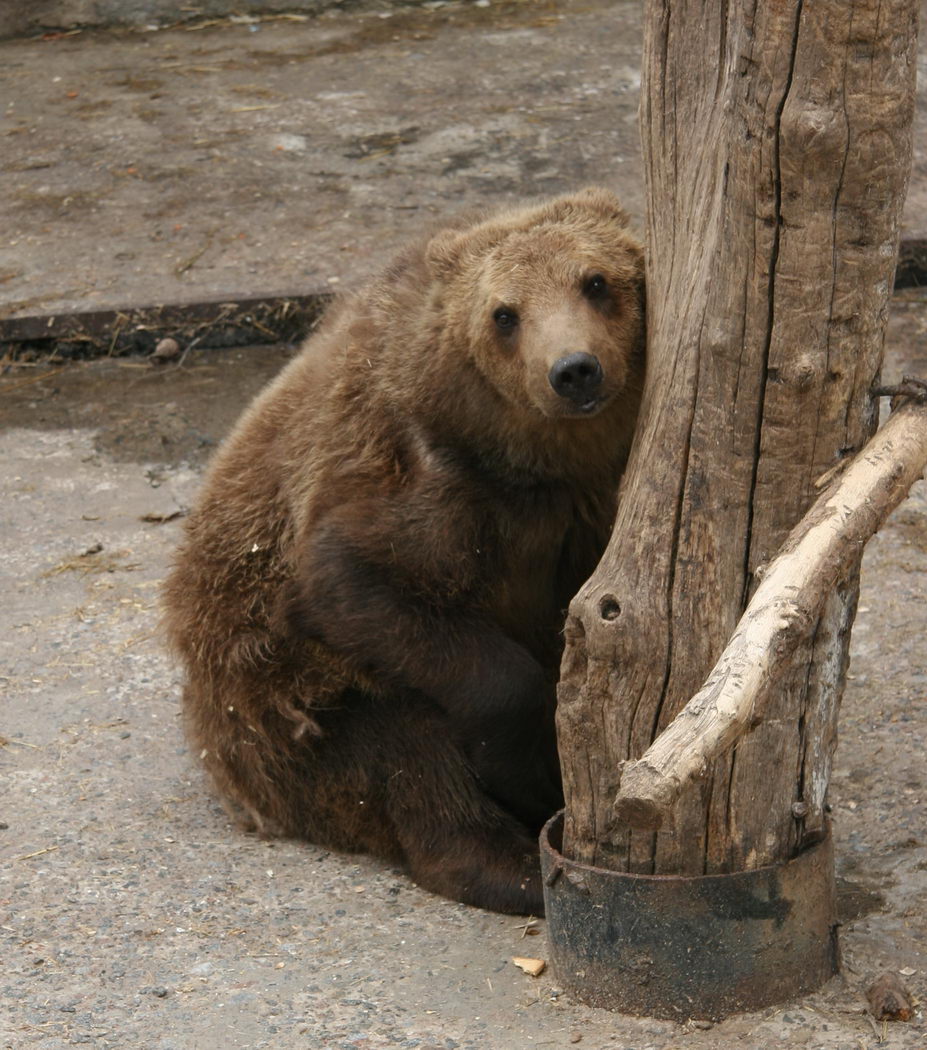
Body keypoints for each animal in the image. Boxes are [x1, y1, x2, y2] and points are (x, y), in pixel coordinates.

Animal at [162, 188, 646, 911]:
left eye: (596, 281)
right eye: (504, 313)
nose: (574, 370)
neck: (537, 463)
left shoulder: (586, 504)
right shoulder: (433, 485)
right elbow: (355, 581)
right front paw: (531, 763)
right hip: (282, 716)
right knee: (404, 748)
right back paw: (512, 865)